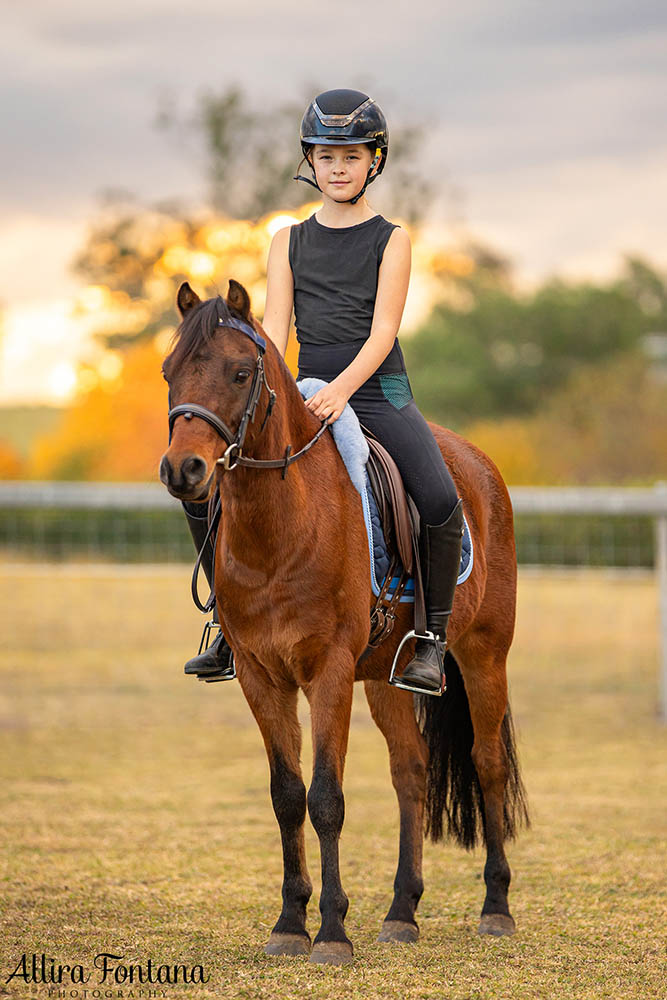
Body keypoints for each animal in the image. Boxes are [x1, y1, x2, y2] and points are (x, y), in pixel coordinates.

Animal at [160, 278, 528, 964]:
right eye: (170, 372)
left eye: (240, 371)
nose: (183, 470)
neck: (280, 528)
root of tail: (477, 462)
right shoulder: (262, 676)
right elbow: (286, 797)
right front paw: (289, 923)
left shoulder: (327, 672)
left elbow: (325, 797)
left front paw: (331, 932)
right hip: (385, 675)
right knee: (411, 772)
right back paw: (402, 912)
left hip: (485, 653)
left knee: (487, 762)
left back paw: (496, 907)